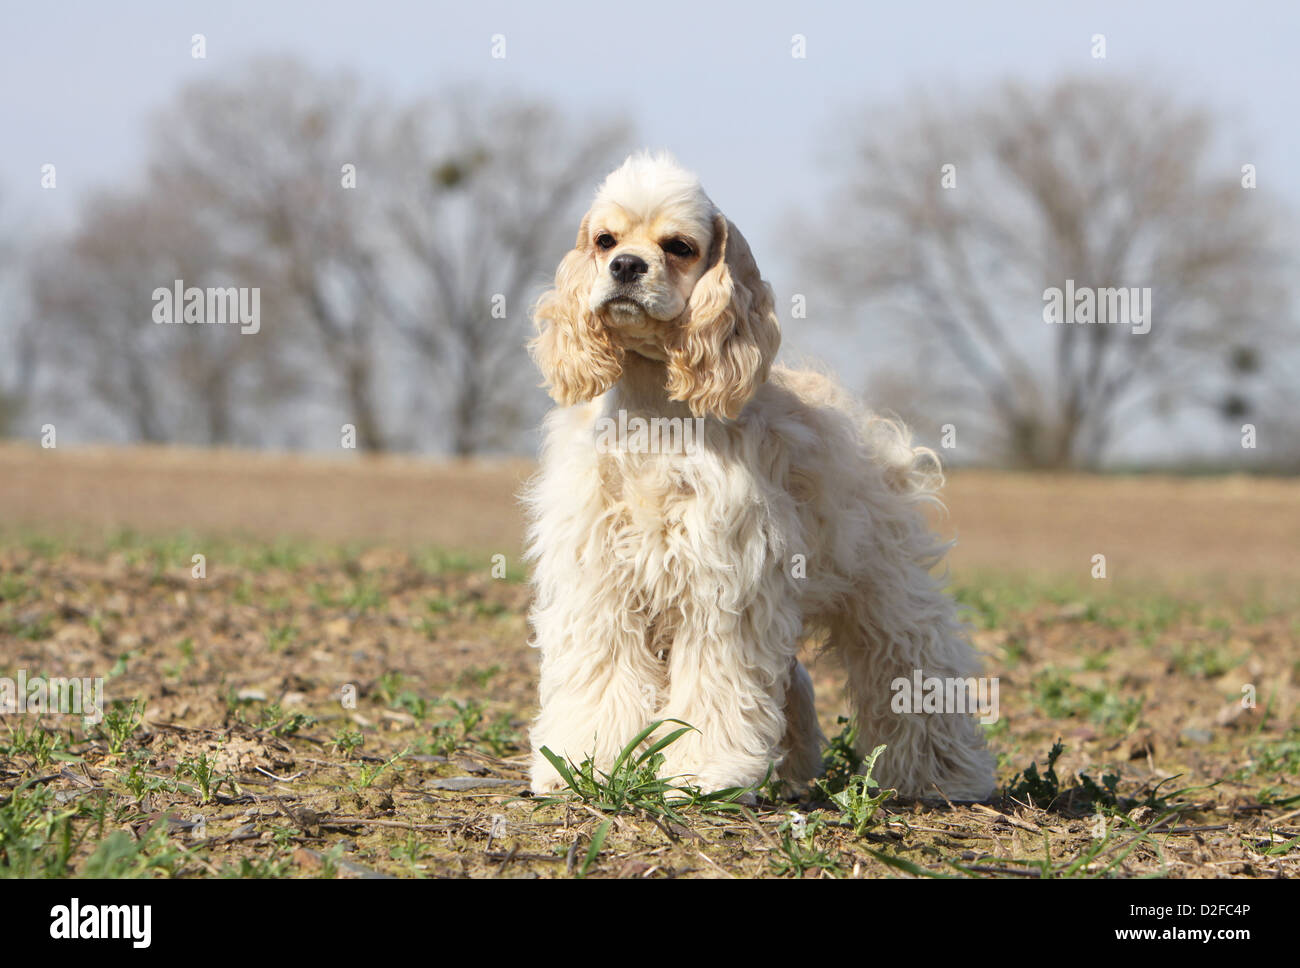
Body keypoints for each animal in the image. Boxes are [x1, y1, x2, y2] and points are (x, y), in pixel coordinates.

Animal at [517, 150, 993, 800]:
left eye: (679, 246)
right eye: (604, 239)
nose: (625, 266)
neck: (652, 407)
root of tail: (869, 426)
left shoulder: (725, 577)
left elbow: (713, 686)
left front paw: (701, 774)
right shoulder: (598, 577)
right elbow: (602, 674)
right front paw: (582, 763)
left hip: (884, 589)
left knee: (914, 662)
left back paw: (942, 775)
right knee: (795, 680)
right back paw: (790, 773)